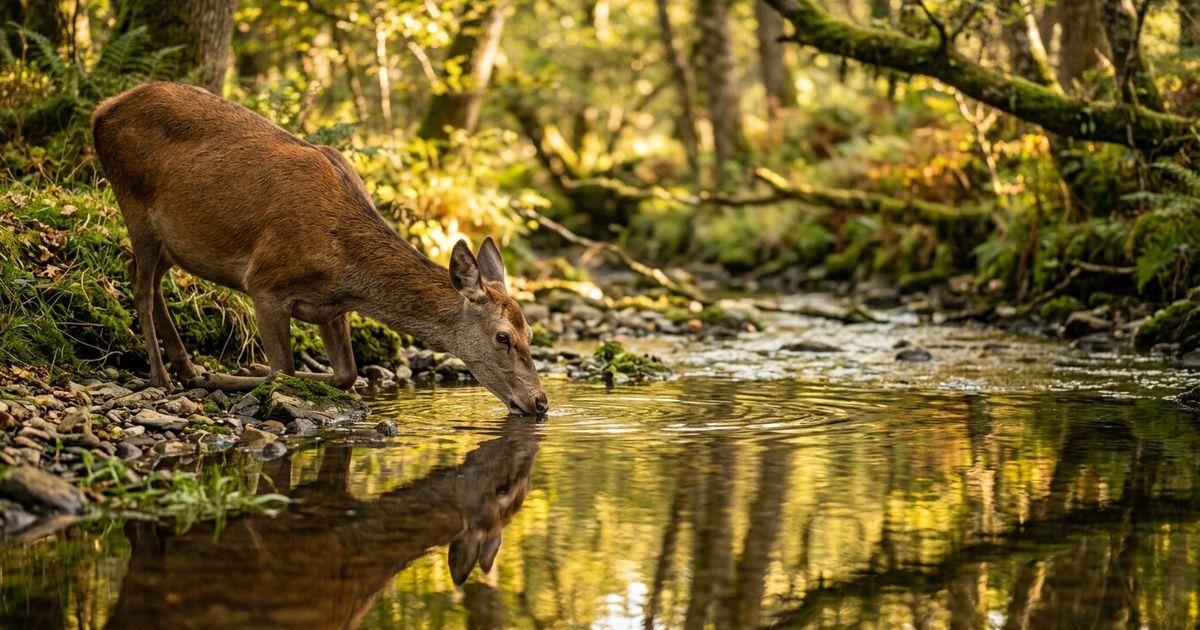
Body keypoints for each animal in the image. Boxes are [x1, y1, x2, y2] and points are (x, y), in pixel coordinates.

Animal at [91, 82, 547, 415]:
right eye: (503, 337)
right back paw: (163, 377)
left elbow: (346, 374)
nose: (540, 402)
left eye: (530, 333)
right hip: (132, 201)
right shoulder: (265, 282)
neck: (345, 266)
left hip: (172, 240)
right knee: (139, 286)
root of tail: (101, 111)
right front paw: (232, 375)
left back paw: (186, 367)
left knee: (149, 281)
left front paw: (236, 369)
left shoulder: (332, 307)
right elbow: (284, 372)